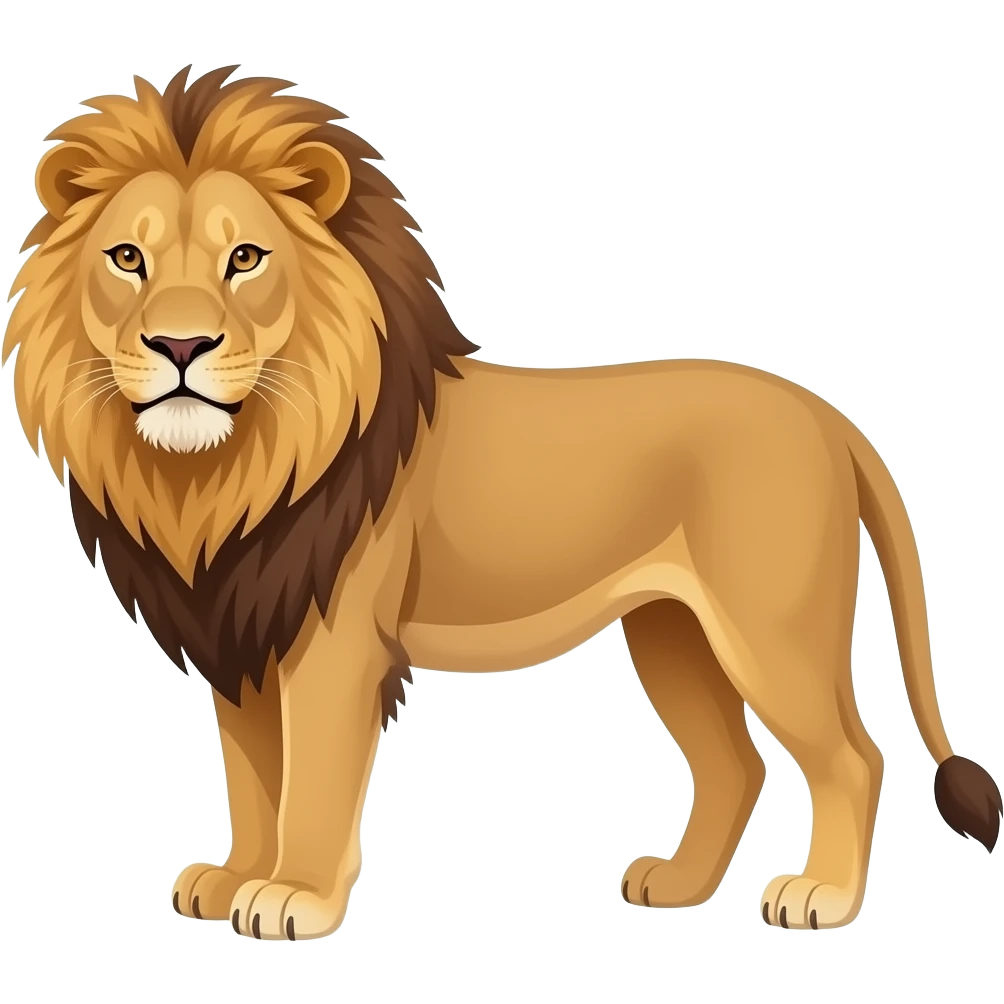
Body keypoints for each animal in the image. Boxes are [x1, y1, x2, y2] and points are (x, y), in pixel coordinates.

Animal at [4, 64, 1000, 942]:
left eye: (244, 258)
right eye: (126, 259)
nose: (180, 345)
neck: (220, 475)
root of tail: (828, 417)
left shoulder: (332, 644)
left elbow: (311, 783)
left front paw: (293, 898)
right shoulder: (243, 633)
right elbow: (254, 778)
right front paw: (236, 878)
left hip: (772, 631)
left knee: (853, 758)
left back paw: (820, 898)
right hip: (674, 632)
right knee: (735, 765)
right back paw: (677, 886)